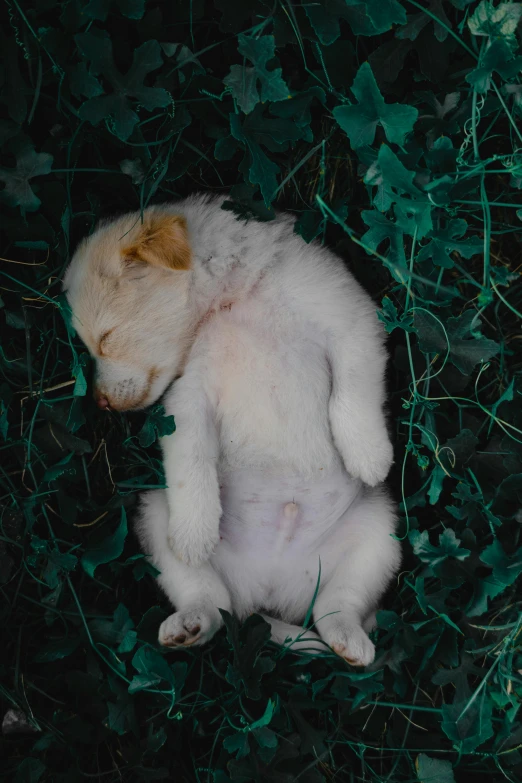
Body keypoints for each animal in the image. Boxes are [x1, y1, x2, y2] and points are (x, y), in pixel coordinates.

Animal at [64, 193, 398, 664]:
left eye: (105, 338)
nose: (99, 403)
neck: (233, 302)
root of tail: (266, 591)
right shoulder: (188, 398)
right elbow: (189, 461)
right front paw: (195, 530)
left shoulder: (352, 324)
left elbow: (354, 392)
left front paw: (368, 454)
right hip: (155, 517)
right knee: (211, 602)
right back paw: (190, 623)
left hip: (379, 535)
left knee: (335, 607)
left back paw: (348, 641)